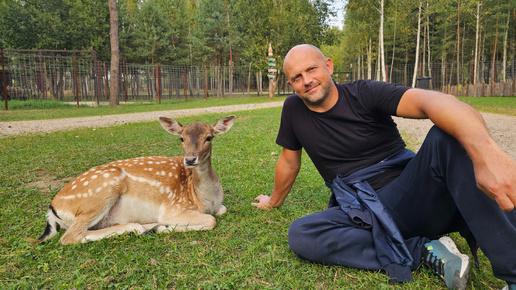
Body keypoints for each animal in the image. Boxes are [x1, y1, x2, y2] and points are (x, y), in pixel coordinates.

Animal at [31, 115, 235, 245]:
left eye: (209, 137)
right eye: (181, 138)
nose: (190, 159)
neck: (205, 199)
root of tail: (52, 208)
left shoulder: (218, 206)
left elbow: (221, 211)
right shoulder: (173, 208)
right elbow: (211, 220)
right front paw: (163, 227)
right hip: (99, 194)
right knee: (69, 237)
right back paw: (140, 228)